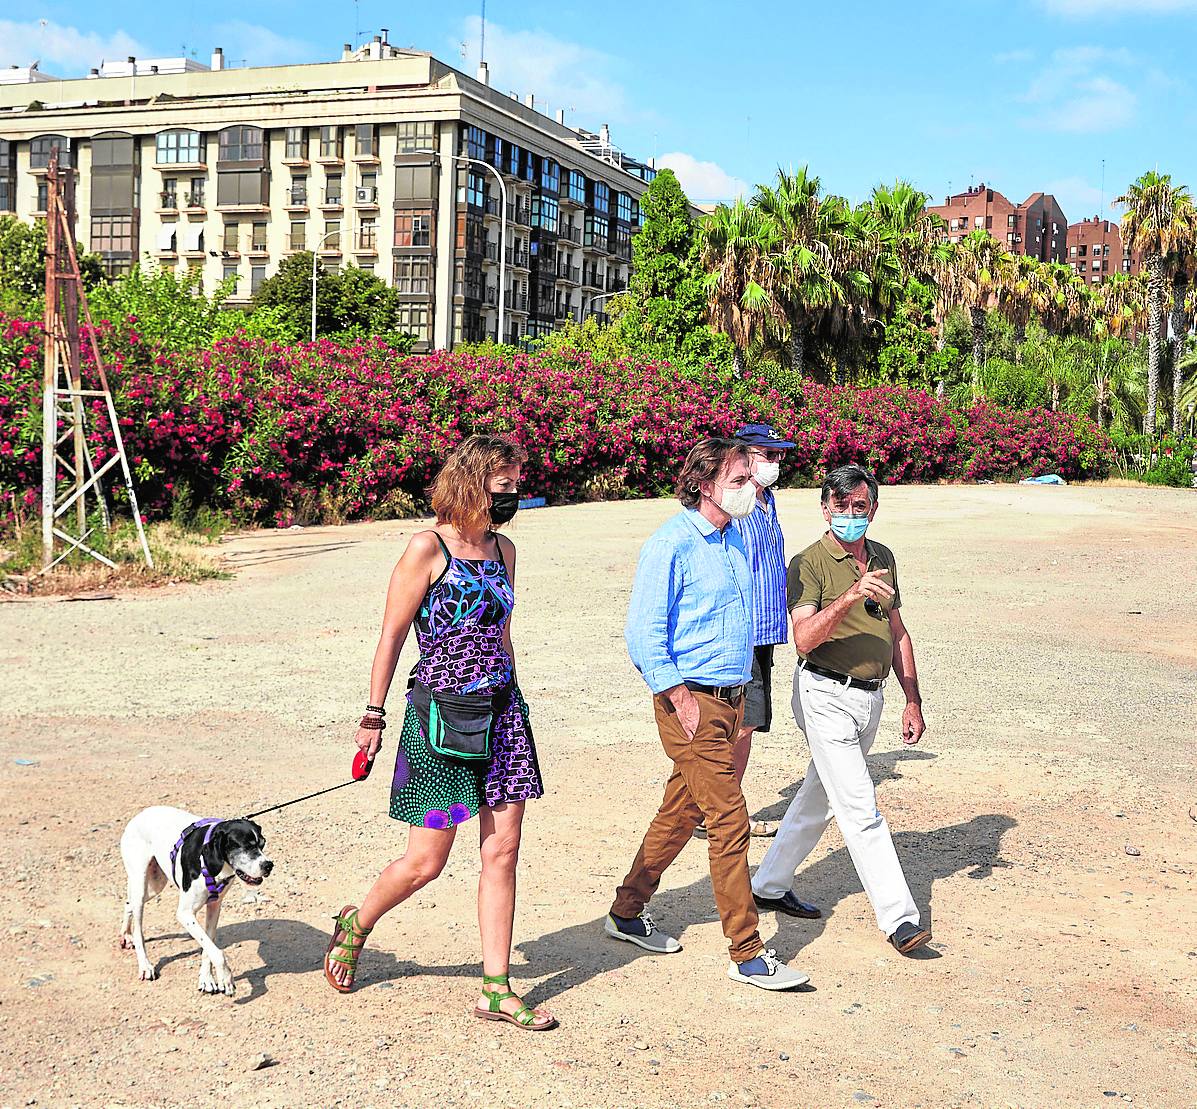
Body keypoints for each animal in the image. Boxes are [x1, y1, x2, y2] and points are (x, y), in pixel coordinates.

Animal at [118, 809, 274, 996]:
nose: (269, 865)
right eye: (246, 846)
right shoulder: (185, 914)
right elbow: (216, 952)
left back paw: (125, 935)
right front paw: (227, 978)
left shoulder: (214, 906)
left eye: (263, 844)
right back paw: (145, 965)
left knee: (128, 903)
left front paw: (207, 979)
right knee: (138, 929)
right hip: (141, 883)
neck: (208, 858)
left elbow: (208, 946)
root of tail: (140, 814)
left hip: (155, 885)